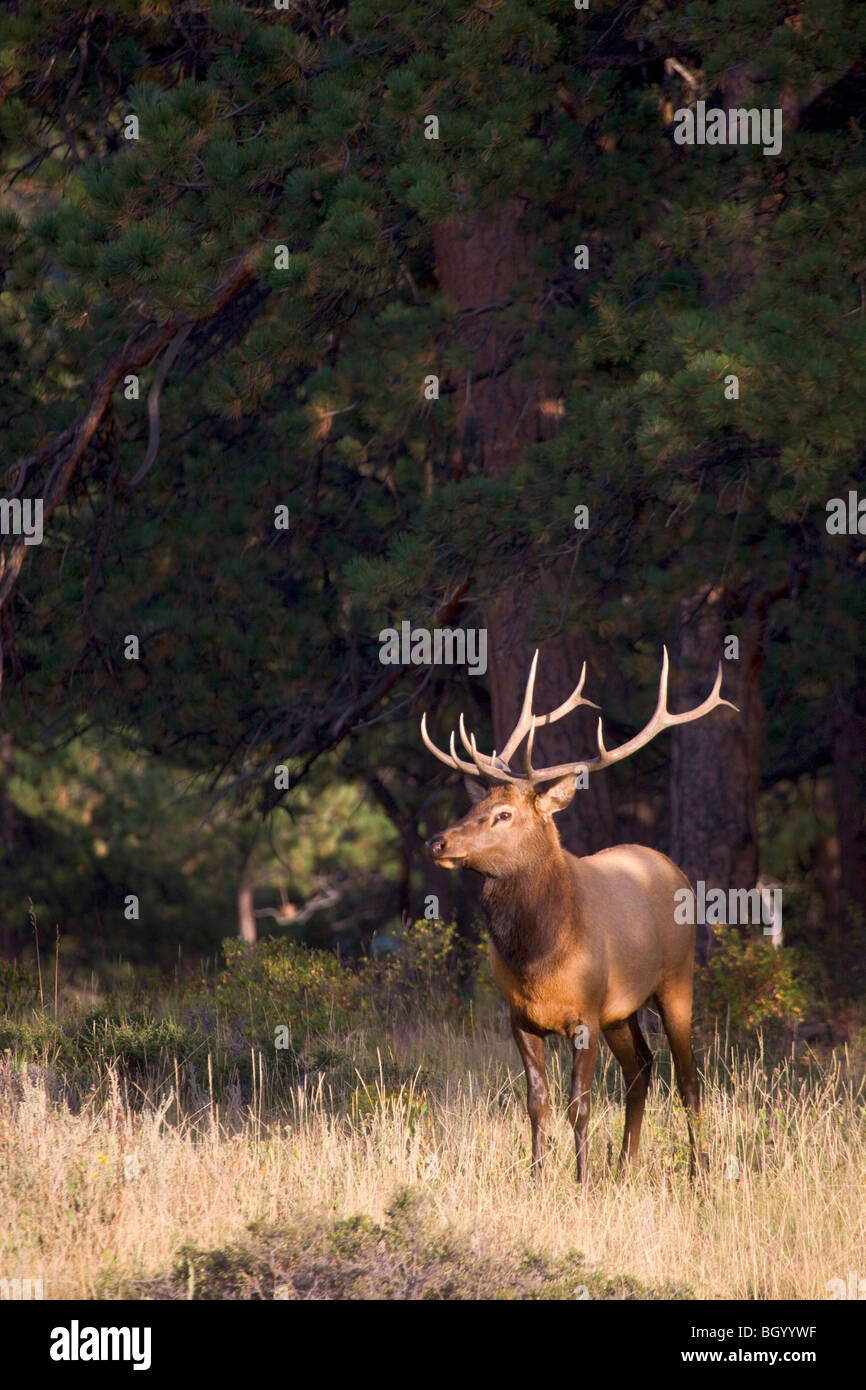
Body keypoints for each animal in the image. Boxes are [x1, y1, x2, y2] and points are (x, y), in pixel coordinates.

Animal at [420, 648, 735, 1182]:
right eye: (478, 803)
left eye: (504, 814)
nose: (437, 842)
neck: (539, 956)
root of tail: (667, 863)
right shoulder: (520, 1016)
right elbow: (537, 1102)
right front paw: (538, 1176)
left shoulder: (585, 1012)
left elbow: (579, 1104)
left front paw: (582, 1179)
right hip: (622, 1010)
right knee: (641, 1068)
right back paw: (627, 1167)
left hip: (676, 979)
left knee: (689, 1079)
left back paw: (699, 1173)